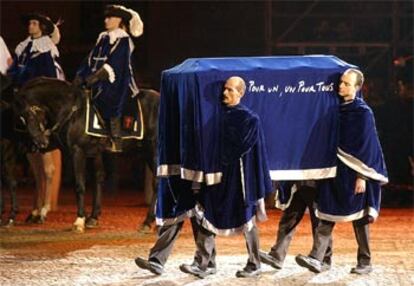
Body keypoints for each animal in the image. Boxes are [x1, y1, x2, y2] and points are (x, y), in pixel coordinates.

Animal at [16, 77, 158, 232]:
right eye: (21, 118)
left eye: (30, 115)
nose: (40, 143)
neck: (72, 111)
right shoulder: (93, 153)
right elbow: (98, 179)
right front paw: (92, 217)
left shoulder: (77, 151)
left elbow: (79, 185)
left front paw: (79, 220)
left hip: (152, 150)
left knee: (157, 181)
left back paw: (148, 221)